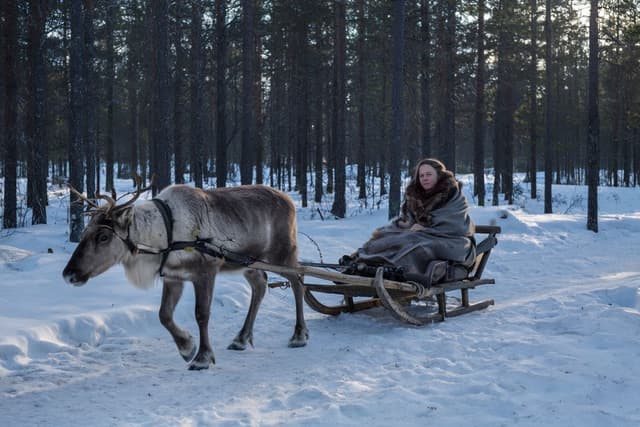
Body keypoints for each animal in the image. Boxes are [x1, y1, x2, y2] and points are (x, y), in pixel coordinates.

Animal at [62, 180, 308, 370]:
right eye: (84, 232)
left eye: (104, 236)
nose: (68, 274)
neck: (164, 236)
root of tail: (289, 200)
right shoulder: (173, 277)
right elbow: (164, 315)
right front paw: (187, 347)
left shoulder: (206, 271)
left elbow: (202, 314)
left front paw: (202, 357)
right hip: (248, 264)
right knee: (260, 285)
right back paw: (240, 339)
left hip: (283, 253)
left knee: (298, 282)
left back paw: (299, 335)